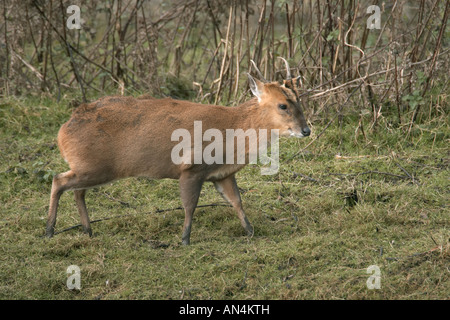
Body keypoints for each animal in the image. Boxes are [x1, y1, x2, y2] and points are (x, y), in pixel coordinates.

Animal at [46, 59, 310, 245]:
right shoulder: (191, 168)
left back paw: (88, 231)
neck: (233, 133)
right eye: (282, 105)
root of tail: (62, 131)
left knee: (77, 191)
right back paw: (49, 230)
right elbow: (190, 205)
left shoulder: (223, 174)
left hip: (90, 167)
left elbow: (237, 201)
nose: (306, 130)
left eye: (300, 101)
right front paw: (185, 239)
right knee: (58, 180)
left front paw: (251, 231)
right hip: (94, 166)